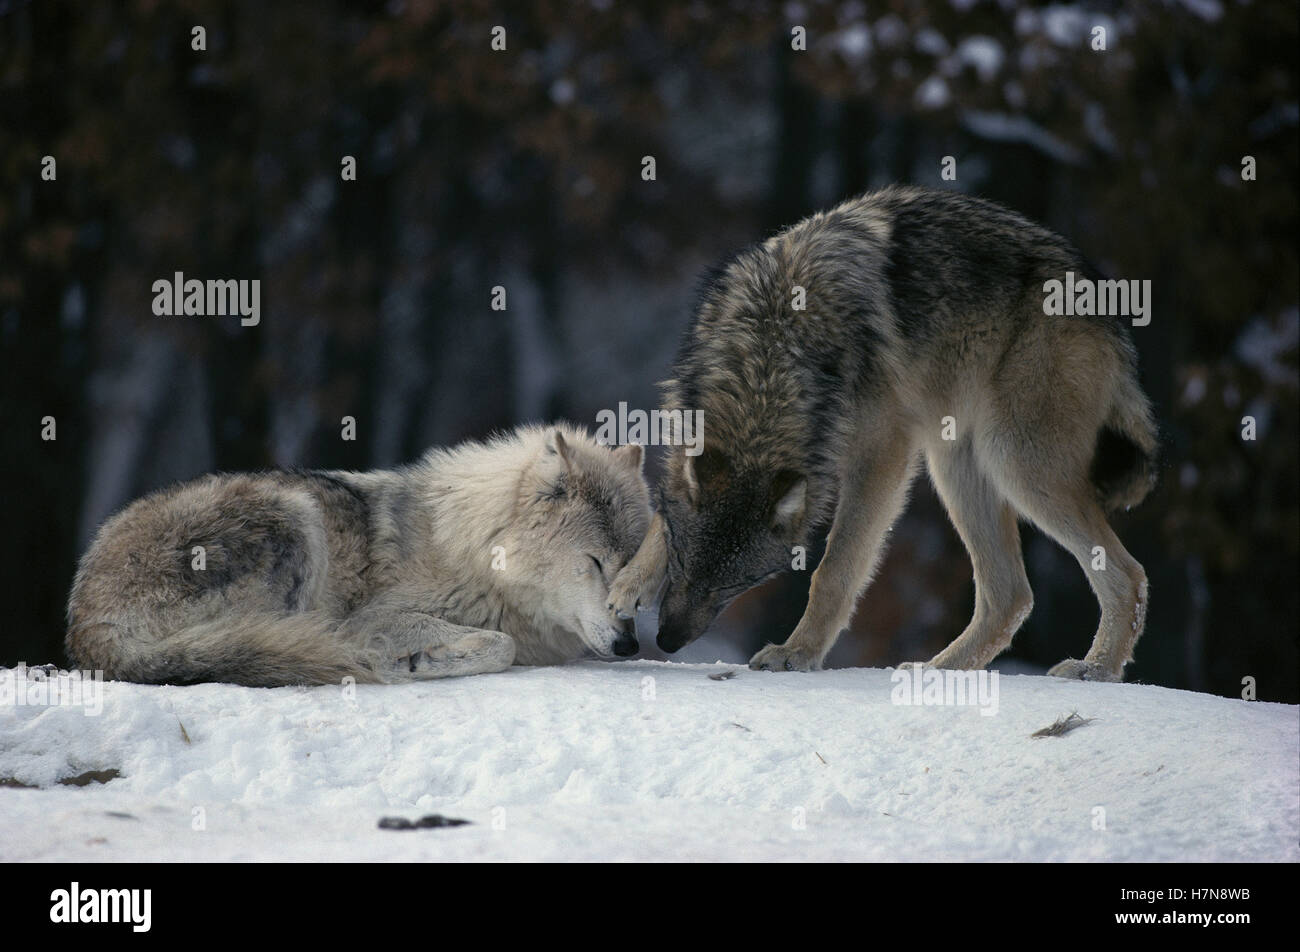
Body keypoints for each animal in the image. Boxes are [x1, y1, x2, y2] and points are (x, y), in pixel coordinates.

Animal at [67, 424, 651, 686]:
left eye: (632, 569)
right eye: (596, 562)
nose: (629, 643)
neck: (478, 551)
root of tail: (86, 624)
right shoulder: (376, 617)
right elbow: (499, 645)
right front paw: (418, 661)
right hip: (292, 515)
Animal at [608, 185, 1157, 682]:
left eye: (737, 583)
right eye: (683, 560)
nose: (668, 640)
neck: (774, 348)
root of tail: (1105, 298)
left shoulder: (883, 454)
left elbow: (834, 570)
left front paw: (796, 654)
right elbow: (659, 513)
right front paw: (625, 587)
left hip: (1015, 461)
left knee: (1128, 575)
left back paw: (1096, 668)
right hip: (958, 466)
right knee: (1011, 596)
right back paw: (938, 671)